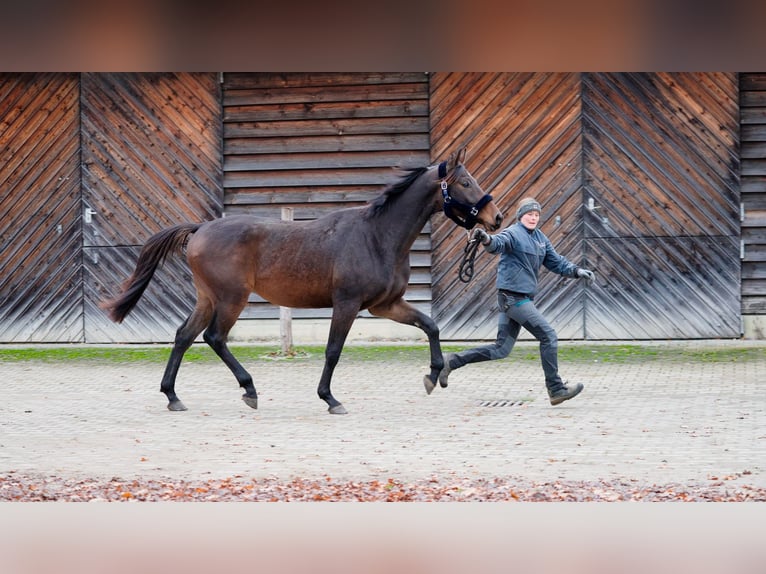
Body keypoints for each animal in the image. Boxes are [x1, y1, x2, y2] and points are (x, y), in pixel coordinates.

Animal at [102, 148, 508, 416]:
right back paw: (249, 389)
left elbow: (430, 325)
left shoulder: (385, 305)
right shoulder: (347, 304)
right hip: (231, 298)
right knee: (214, 337)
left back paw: (173, 396)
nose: (497, 217)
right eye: (466, 182)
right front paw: (330, 399)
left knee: (184, 336)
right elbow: (333, 350)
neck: (377, 235)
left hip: (208, 298)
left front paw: (436, 375)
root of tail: (201, 228)